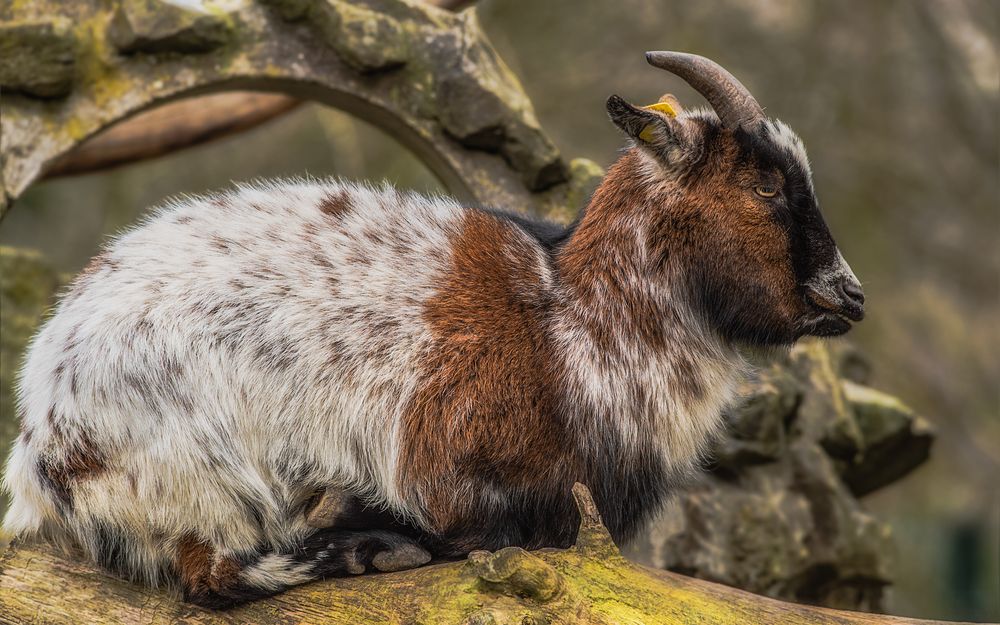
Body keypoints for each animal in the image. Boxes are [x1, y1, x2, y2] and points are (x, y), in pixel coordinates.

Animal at [0, 51, 864, 608]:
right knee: (210, 575)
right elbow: (494, 534)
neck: (571, 325)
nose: (848, 295)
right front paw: (387, 531)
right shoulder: (473, 482)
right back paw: (360, 542)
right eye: (765, 183)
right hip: (202, 480)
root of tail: (42, 432)